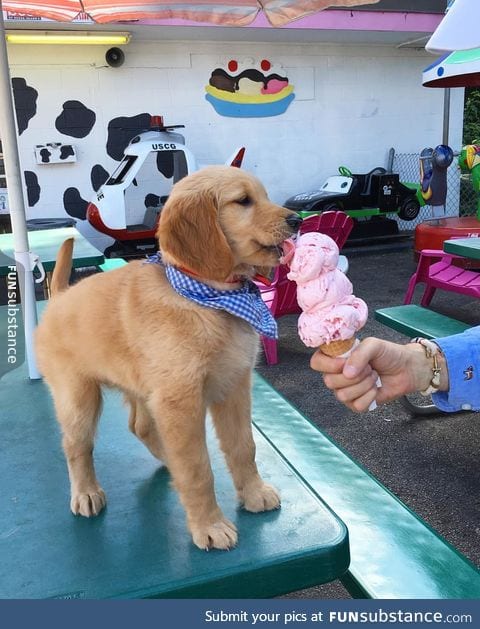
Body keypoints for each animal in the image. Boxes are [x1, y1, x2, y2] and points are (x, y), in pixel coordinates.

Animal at [35, 166, 302, 548]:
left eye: (264, 196)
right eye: (243, 201)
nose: (297, 220)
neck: (209, 298)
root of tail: (58, 298)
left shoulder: (234, 386)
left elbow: (243, 447)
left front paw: (253, 493)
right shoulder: (180, 401)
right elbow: (197, 468)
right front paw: (209, 525)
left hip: (142, 387)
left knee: (141, 426)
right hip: (78, 398)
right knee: (76, 445)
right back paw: (86, 492)